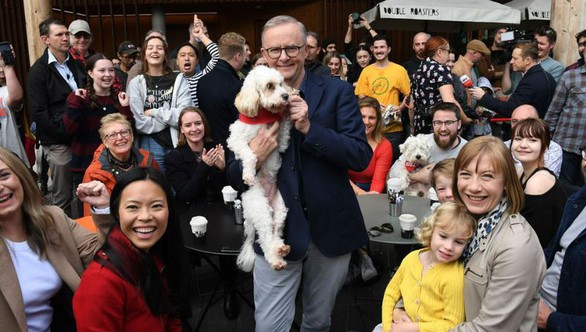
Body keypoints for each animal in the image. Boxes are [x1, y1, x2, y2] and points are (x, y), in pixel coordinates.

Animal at [226, 65, 294, 272]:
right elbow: (249, 155)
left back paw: (280, 249)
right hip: (260, 208)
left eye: (281, 83)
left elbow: (284, 132)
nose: (285, 96)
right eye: (270, 86)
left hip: (281, 209)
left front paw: (288, 112)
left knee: (275, 233)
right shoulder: (236, 141)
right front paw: (248, 175)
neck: (264, 117)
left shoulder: (281, 143)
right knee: (264, 238)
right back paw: (275, 259)